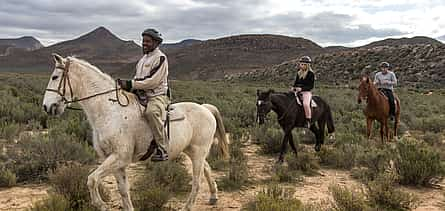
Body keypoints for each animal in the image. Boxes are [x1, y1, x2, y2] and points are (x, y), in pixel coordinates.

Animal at [42, 54, 229, 211]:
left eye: (55, 77)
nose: (46, 106)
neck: (110, 111)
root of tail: (205, 108)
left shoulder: (119, 157)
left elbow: (92, 180)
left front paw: (101, 205)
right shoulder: (115, 161)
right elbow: (123, 190)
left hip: (198, 152)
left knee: (196, 182)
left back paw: (188, 207)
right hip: (191, 151)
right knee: (207, 168)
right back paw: (213, 196)